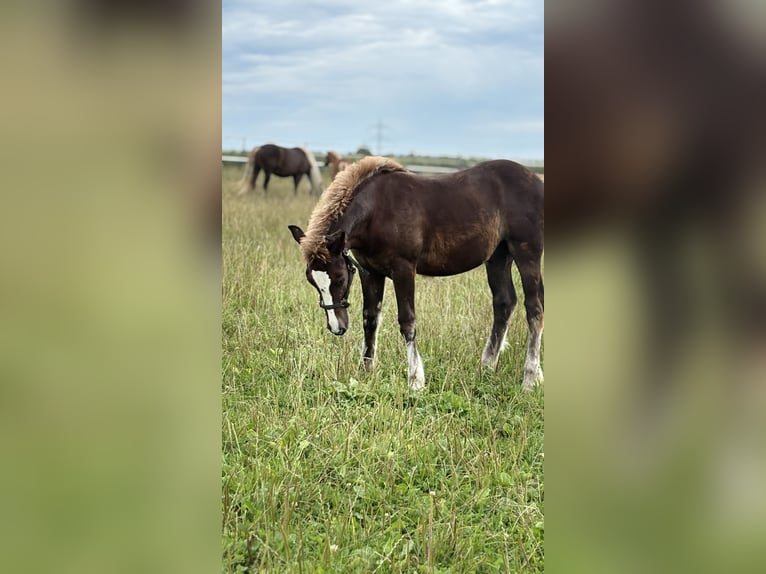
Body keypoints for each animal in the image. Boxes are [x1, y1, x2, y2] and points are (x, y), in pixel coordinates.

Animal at [288, 156, 544, 391]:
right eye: (312, 281)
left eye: (340, 279)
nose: (336, 327)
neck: (376, 211)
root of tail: (537, 182)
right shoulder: (370, 272)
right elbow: (370, 318)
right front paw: (366, 370)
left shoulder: (403, 269)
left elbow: (407, 322)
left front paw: (415, 381)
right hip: (498, 257)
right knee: (504, 303)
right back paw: (487, 367)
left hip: (526, 253)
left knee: (534, 308)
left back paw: (530, 378)